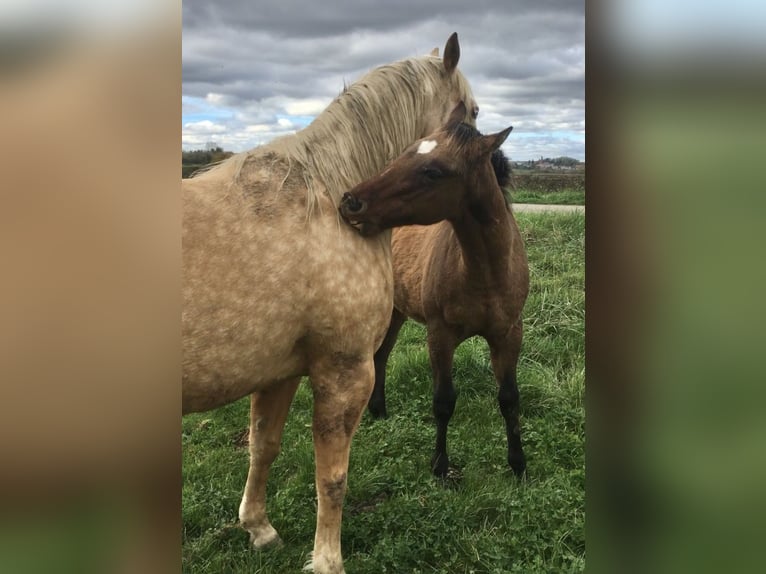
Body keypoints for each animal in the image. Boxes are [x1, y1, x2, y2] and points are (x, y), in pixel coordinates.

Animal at [182, 35, 476, 574]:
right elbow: (333, 478)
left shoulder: (278, 372)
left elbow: (263, 446)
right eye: (472, 112)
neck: (326, 201)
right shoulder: (346, 372)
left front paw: (258, 528)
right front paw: (327, 560)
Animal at [340, 101, 532, 480]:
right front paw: (441, 466)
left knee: (382, 355)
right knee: (376, 356)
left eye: (433, 172)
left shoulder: (508, 334)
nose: (351, 202)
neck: (485, 273)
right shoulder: (440, 335)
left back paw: (379, 410)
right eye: (405, 154)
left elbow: (509, 398)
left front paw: (518, 464)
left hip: (397, 313)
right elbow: (443, 402)